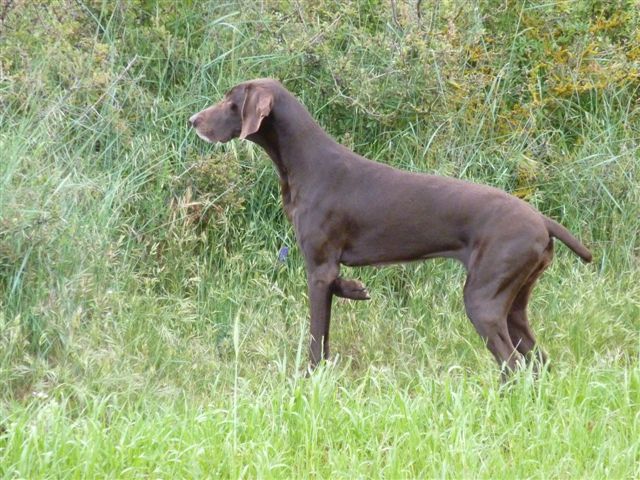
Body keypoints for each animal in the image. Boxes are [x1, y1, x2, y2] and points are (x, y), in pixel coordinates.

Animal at [188, 79, 592, 378]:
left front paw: (310, 378)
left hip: (484, 299)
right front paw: (355, 289)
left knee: (511, 365)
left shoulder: (318, 267)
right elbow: (338, 293)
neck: (305, 162)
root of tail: (541, 220)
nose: (193, 120)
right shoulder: (329, 267)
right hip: (514, 303)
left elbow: (318, 337)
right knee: (538, 361)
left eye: (231, 103)